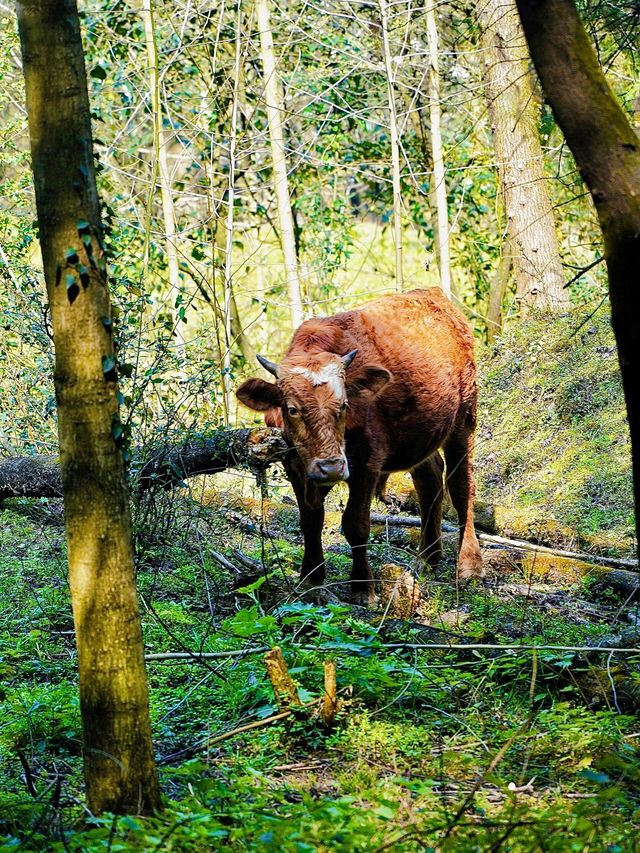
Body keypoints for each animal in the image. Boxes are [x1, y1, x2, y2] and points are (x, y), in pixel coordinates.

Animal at [238, 290, 482, 604]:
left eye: (343, 405)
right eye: (292, 409)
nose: (330, 467)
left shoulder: (367, 464)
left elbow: (356, 524)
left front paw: (363, 586)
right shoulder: (294, 466)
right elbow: (310, 521)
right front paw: (311, 576)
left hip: (464, 419)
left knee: (461, 487)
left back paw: (469, 565)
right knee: (429, 479)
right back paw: (428, 557)